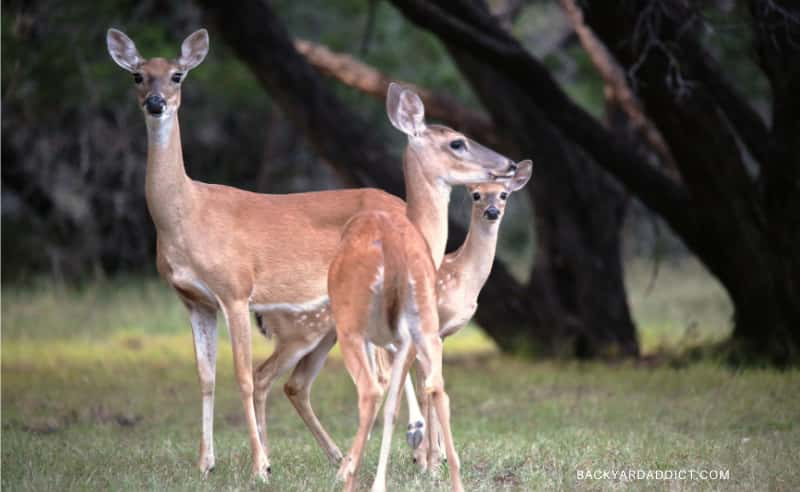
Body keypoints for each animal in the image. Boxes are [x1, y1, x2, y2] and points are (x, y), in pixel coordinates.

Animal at [105, 27, 416, 480]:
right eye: (138, 76)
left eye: (178, 75)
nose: (156, 102)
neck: (187, 215)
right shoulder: (194, 301)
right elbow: (206, 377)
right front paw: (205, 464)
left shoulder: (235, 290)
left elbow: (243, 377)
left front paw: (260, 466)